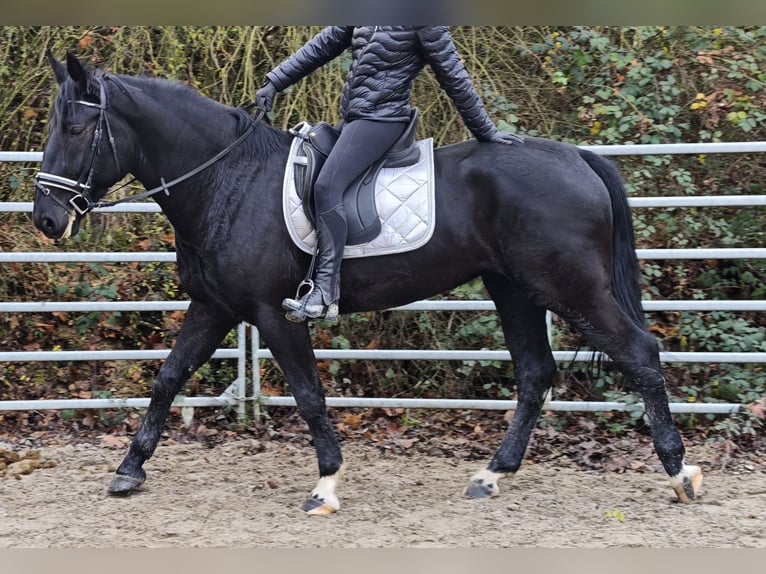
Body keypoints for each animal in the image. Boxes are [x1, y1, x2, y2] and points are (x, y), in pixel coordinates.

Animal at [32, 51, 702, 514]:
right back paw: (492, 474)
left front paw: (326, 484)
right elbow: (167, 379)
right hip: (512, 288)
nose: (46, 219)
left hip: (571, 286)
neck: (228, 179)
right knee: (536, 374)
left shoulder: (273, 313)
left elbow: (308, 395)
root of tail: (576, 157)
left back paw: (679, 473)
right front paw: (129, 469)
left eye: (74, 129)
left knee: (639, 354)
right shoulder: (214, 307)